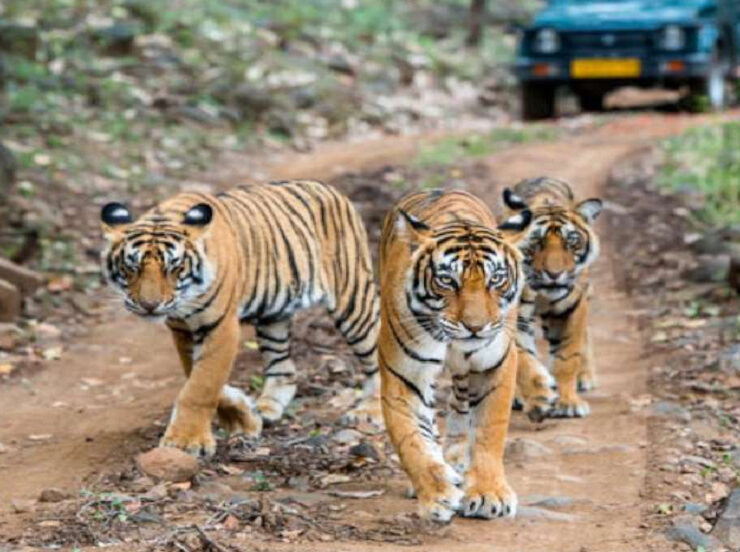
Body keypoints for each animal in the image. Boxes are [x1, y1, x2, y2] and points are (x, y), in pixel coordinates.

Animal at [100, 180, 380, 456]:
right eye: (131, 267)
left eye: (175, 268)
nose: (149, 305)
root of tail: (329, 189)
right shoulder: (182, 330)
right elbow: (196, 375)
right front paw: (244, 418)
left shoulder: (220, 327)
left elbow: (202, 384)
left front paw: (186, 441)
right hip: (273, 316)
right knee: (283, 369)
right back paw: (267, 408)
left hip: (353, 300)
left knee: (376, 354)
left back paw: (369, 411)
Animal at [378, 189, 533, 522]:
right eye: (447, 280)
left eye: (496, 279)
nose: (475, 327)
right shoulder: (404, 375)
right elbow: (411, 439)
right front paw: (436, 494)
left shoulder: (494, 365)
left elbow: (489, 431)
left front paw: (489, 494)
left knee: (461, 405)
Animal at [503, 176, 603, 418]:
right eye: (536, 243)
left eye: (572, 242)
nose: (555, 274)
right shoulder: (515, 315)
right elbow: (523, 358)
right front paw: (539, 396)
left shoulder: (572, 308)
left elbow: (567, 356)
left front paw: (568, 403)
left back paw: (585, 378)